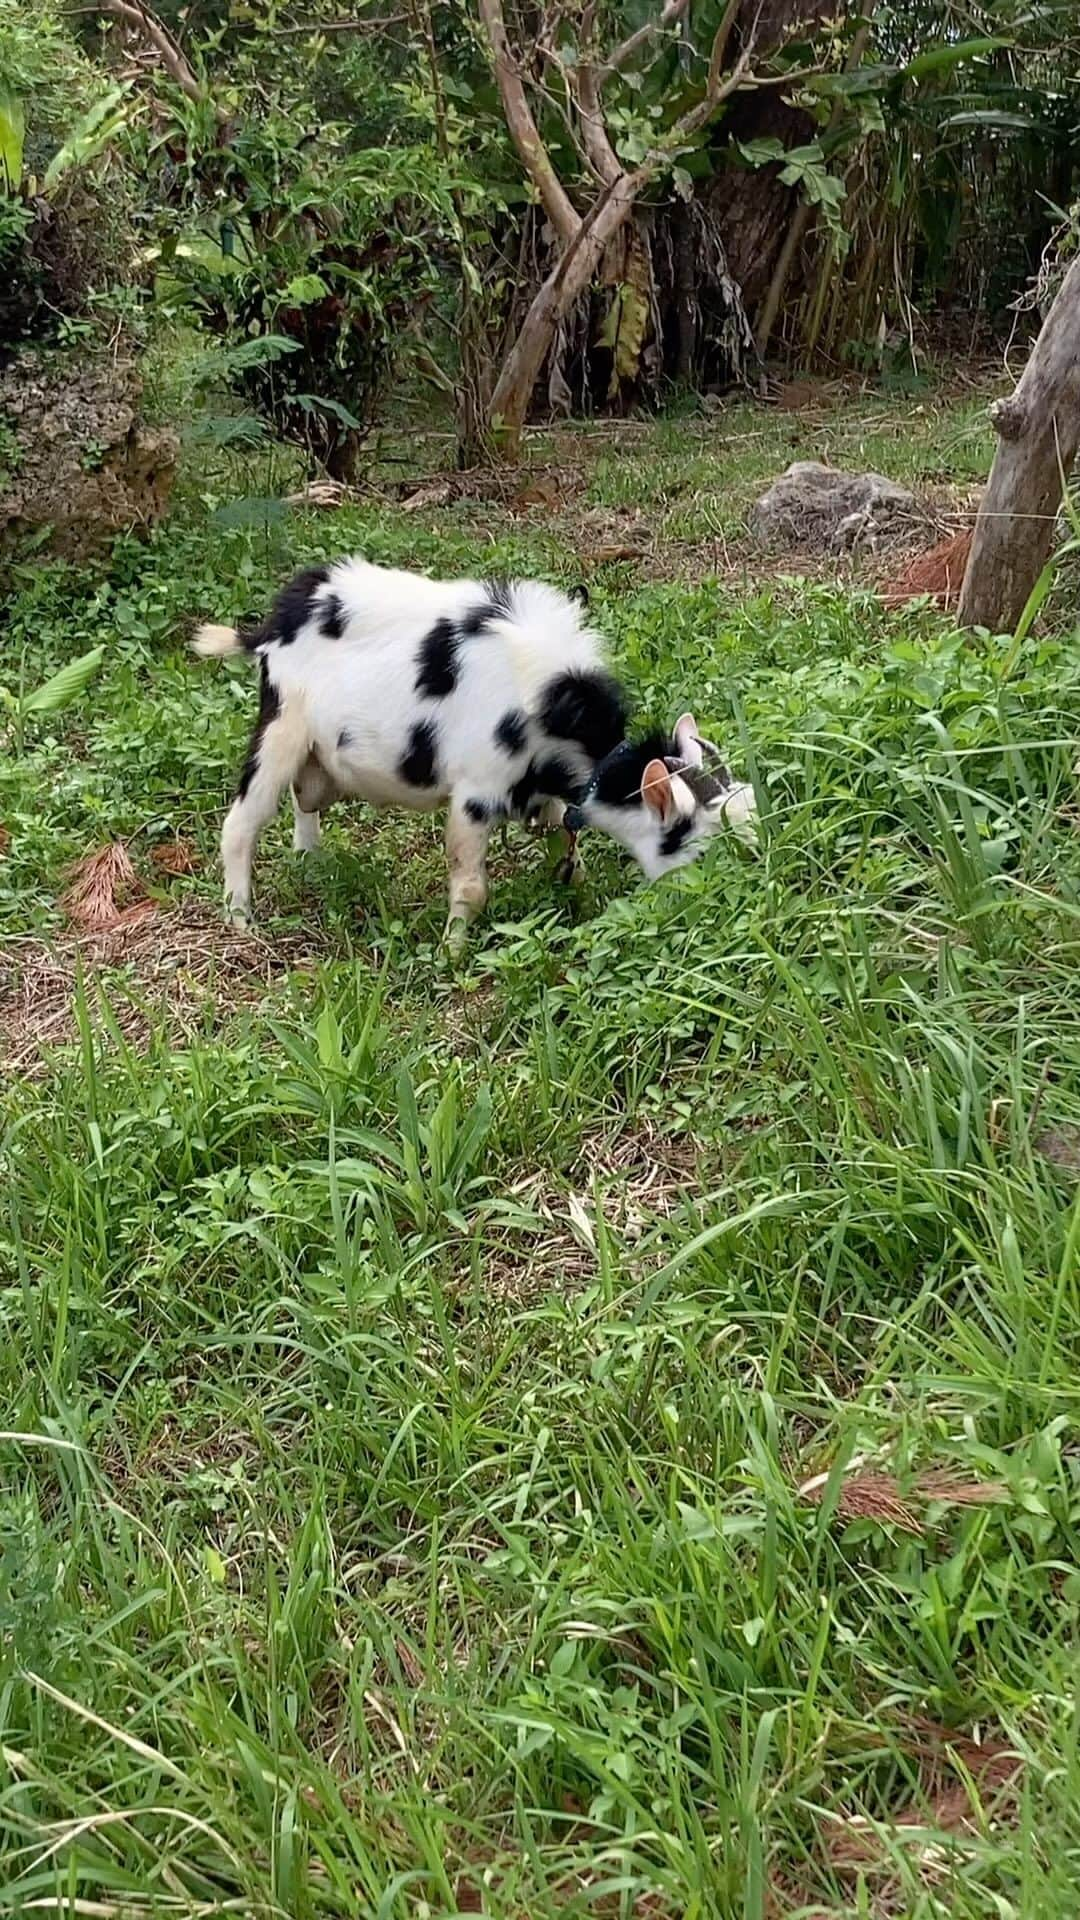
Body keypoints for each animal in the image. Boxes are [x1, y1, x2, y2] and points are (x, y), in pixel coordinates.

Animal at [191, 556, 749, 944]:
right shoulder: (476, 793)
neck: (554, 709)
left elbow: (562, 841)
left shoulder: (540, 793)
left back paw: (312, 864)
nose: (723, 912)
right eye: (699, 846)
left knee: (305, 800)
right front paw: (452, 952)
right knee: (242, 822)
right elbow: (470, 886)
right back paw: (241, 920)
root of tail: (277, 619)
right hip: (281, 725)